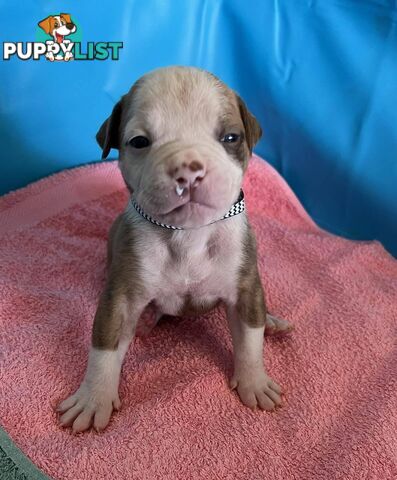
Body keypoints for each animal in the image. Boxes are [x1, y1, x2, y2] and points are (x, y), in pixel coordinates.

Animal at [57, 66, 290, 432]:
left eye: (231, 138)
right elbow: (104, 346)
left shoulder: (245, 285)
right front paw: (93, 398)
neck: (188, 234)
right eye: (140, 142)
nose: (189, 170)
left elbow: (250, 339)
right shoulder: (120, 298)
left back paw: (272, 321)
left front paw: (254, 382)